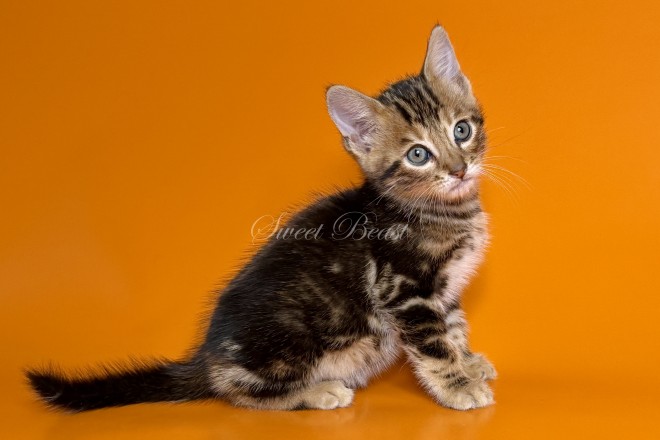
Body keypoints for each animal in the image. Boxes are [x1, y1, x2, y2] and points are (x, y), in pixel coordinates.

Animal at [26, 25, 496, 412]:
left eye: (461, 130)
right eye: (418, 155)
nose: (459, 170)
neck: (443, 210)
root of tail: (209, 355)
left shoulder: (445, 290)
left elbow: (453, 328)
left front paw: (469, 364)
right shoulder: (404, 290)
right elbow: (434, 344)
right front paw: (458, 386)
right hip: (290, 339)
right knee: (237, 391)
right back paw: (319, 391)